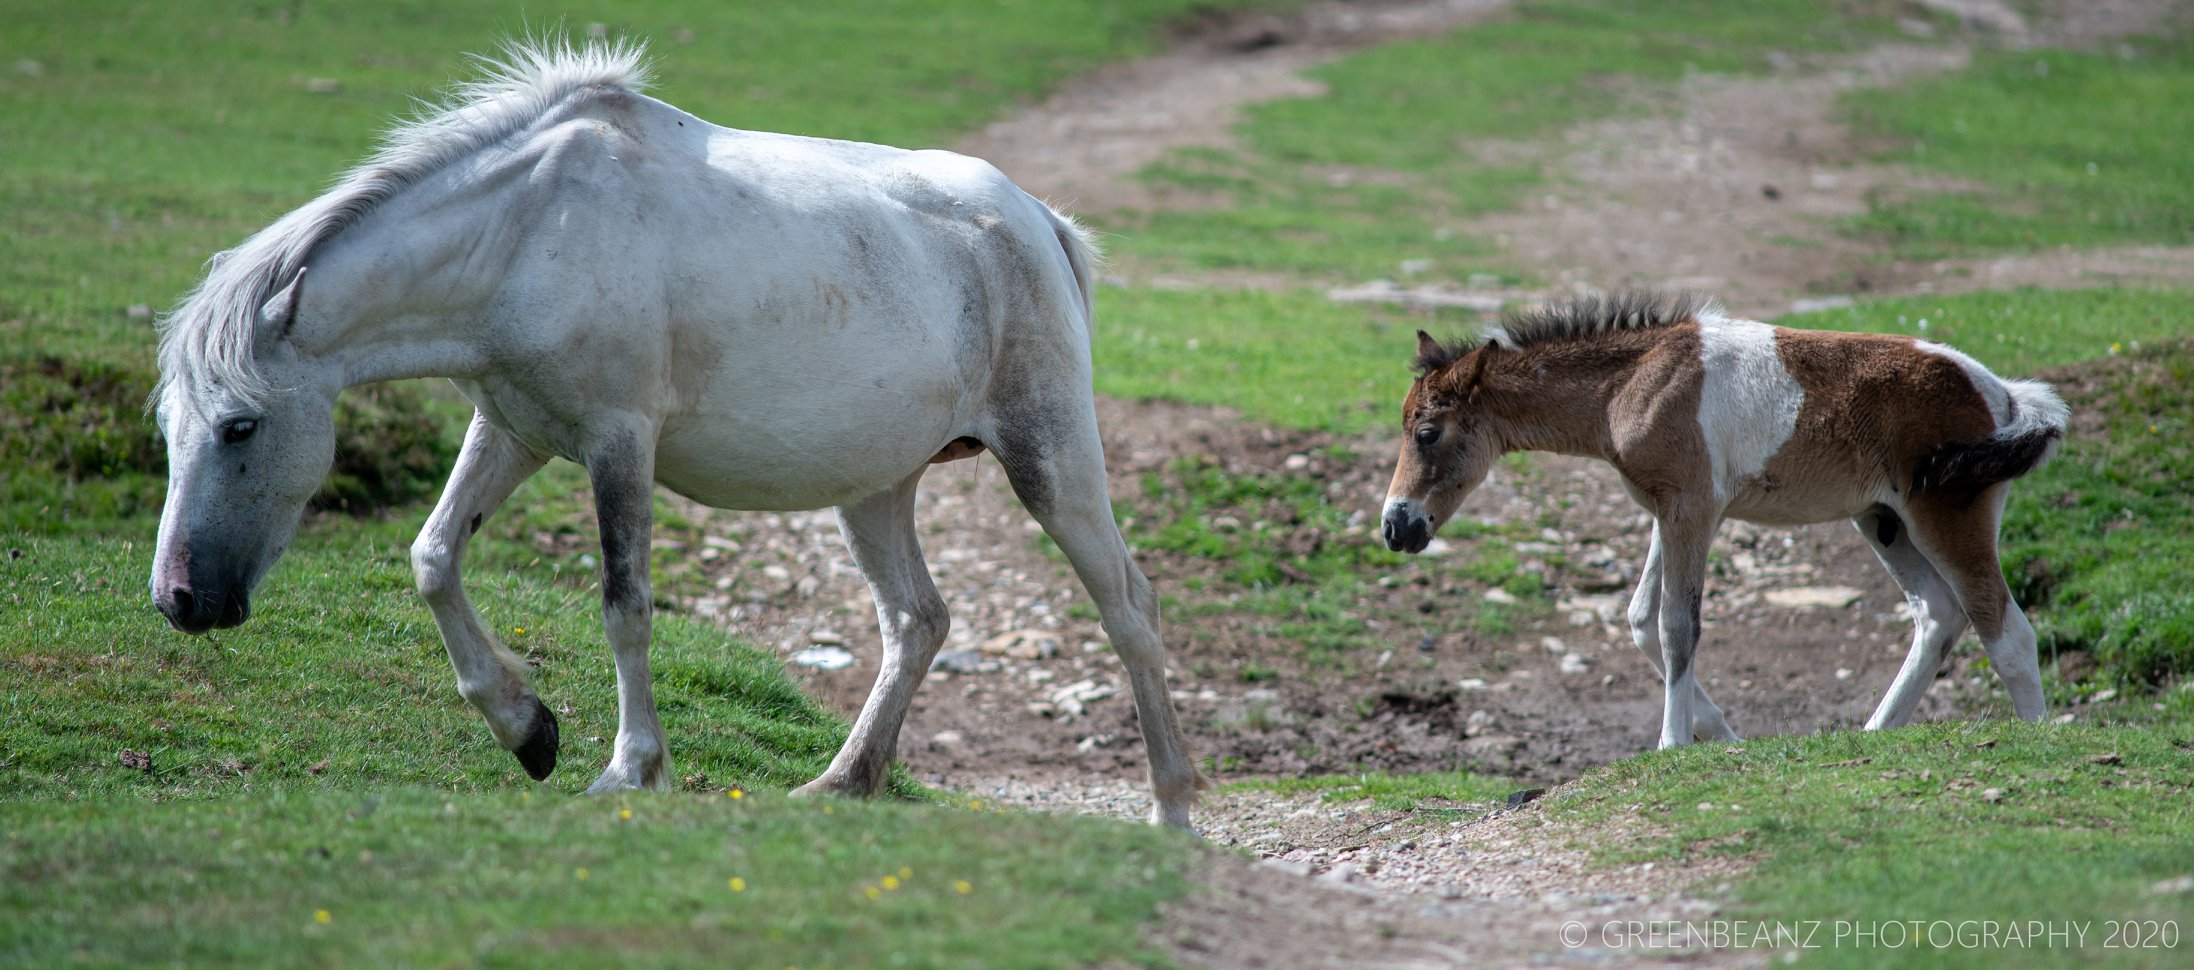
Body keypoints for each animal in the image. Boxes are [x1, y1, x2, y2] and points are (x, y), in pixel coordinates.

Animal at [150, 39, 1219, 825]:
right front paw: (526, 728)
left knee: (1128, 608)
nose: (178, 599)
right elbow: (433, 556)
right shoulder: (511, 429)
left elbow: (624, 603)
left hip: (1051, 461)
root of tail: (1038, 219)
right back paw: (842, 783)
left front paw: (630, 769)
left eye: (239, 425)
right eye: (170, 426)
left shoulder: (620, 442)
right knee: (917, 620)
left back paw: (1170, 810)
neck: (532, 230)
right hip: (875, 489)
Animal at [1377, 294, 2062, 750]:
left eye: (1427, 432)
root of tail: (2003, 394)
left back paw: (2037, 735)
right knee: (1939, 616)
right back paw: (1870, 733)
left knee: (2005, 628)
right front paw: (1725, 736)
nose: (1395, 526)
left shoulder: (1692, 508)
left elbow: (1678, 625)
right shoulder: (1670, 511)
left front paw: (1672, 745)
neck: (1633, 381)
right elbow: (1640, 619)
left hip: (1947, 516)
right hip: (1882, 520)